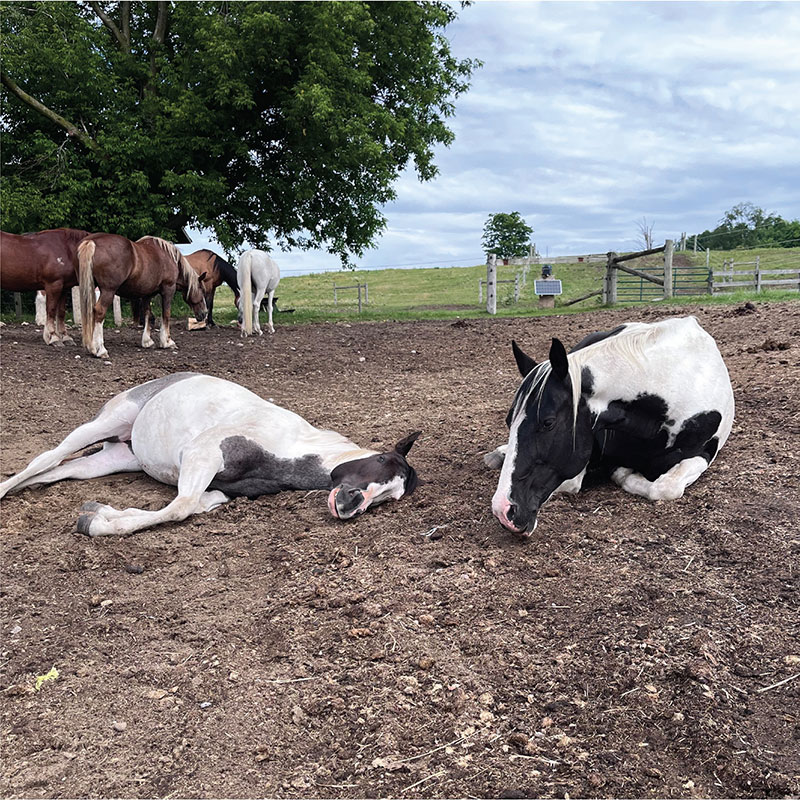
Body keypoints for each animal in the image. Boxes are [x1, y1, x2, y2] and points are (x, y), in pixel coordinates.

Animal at [0, 373, 421, 537]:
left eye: (392, 496)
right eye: (381, 460)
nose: (351, 504)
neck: (287, 449)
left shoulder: (218, 485)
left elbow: (200, 503)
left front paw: (99, 513)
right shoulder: (201, 455)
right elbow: (181, 507)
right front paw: (99, 523)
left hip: (111, 460)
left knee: (57, 471)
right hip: (103, 423)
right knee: (46, 459)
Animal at [77, 234, 207, 358]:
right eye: (201, 289)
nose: (204, 313)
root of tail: (91, 241)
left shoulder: (147, 294)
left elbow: (147, 314)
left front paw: (147, 341)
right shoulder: (168, 289)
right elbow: (166, 315)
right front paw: (167, 342)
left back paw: (92, 347)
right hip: (108, 291)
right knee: (99, 312)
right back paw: (100, 350)